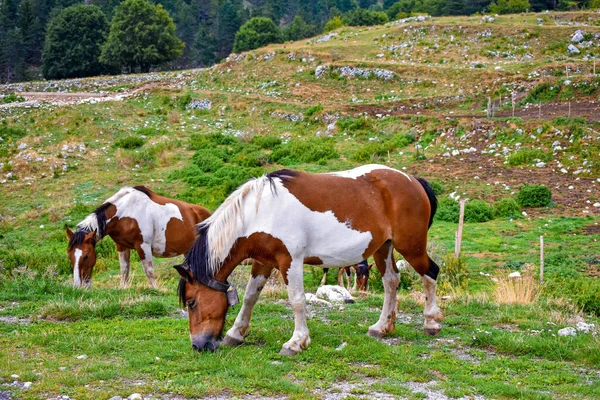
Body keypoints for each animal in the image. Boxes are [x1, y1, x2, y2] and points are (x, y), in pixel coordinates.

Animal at [65, 186, 210, 290]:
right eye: (70, 256)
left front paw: (155, 289)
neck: (126, 213)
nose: (78, 286)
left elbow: (149, 270)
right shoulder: (121, 246)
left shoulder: (143, 245)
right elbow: (124, 269)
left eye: (86, 256)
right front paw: (123, 288)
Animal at [176, 164, 442, 354]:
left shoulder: (290, 262)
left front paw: (296, 342)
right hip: (383, 248)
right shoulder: (263, 261)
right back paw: (381, 327)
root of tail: (412, 180)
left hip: (411, 247)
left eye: (191, 302)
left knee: (430, 273)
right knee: (391, 281)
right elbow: (251, 296)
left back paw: (431, 323)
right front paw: (236, 333)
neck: (261, 212)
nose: (198, 346)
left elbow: (296, 300)